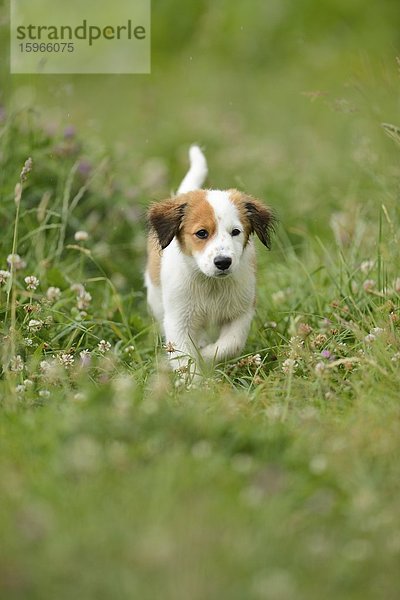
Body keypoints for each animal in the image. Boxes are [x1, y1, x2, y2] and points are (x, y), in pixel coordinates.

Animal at [145, 145, 274, 372]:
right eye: (202, 233)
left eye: (235, 232)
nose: (223, 262)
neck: (211, 285)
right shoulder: (178, 320)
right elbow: (184, 359)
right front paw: (194, 378)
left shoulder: (241, 313)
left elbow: (230, 345)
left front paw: (205, 357)